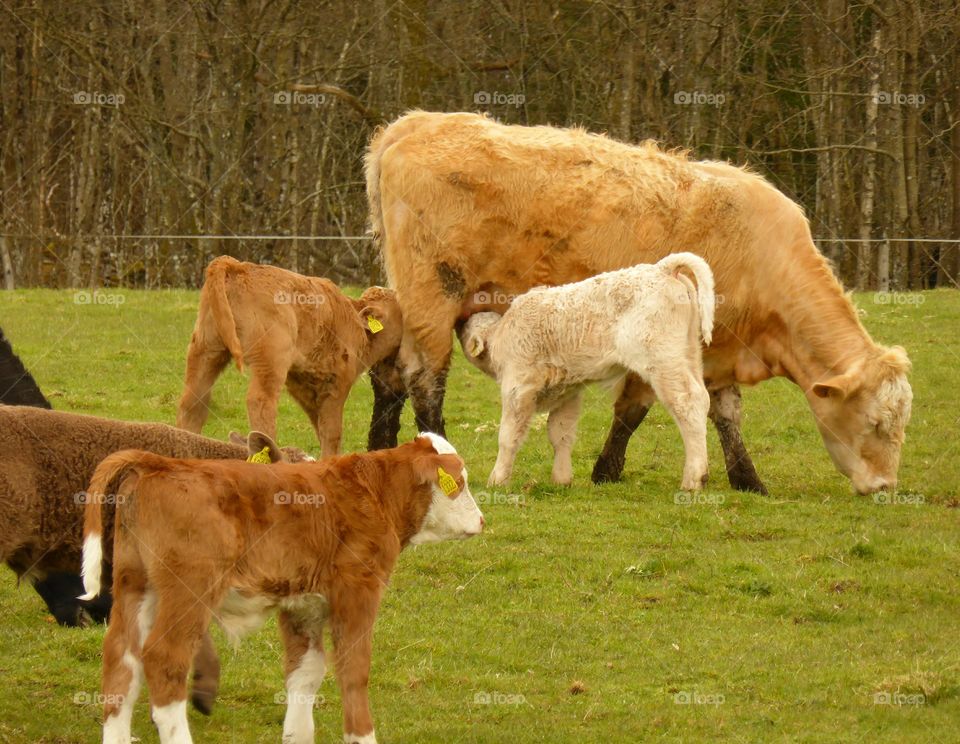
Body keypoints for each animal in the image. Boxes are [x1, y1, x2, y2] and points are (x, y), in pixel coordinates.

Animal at [79, 430, 484, 744]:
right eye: (459, 483)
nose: (481, 520)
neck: (373, 492)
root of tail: (161, 463)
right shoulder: (359, 591)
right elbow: (354, 669)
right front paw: (361, 735)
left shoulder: (303, 604)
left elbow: (305, 673)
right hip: (189, 592)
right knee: (165, 659)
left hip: (135, 586)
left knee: (121, 661)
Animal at [458, 253, 712, 492]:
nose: (459, 321)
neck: (501, 334)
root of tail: (662, 268)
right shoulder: (567, 392)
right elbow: (561, 434)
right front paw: (561, 480)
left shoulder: (517, 388)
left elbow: (508, 437)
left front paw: (497, 480)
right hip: (689, 355)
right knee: (702, 399)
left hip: (663, 362)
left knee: (686, 403)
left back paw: (694, 478)